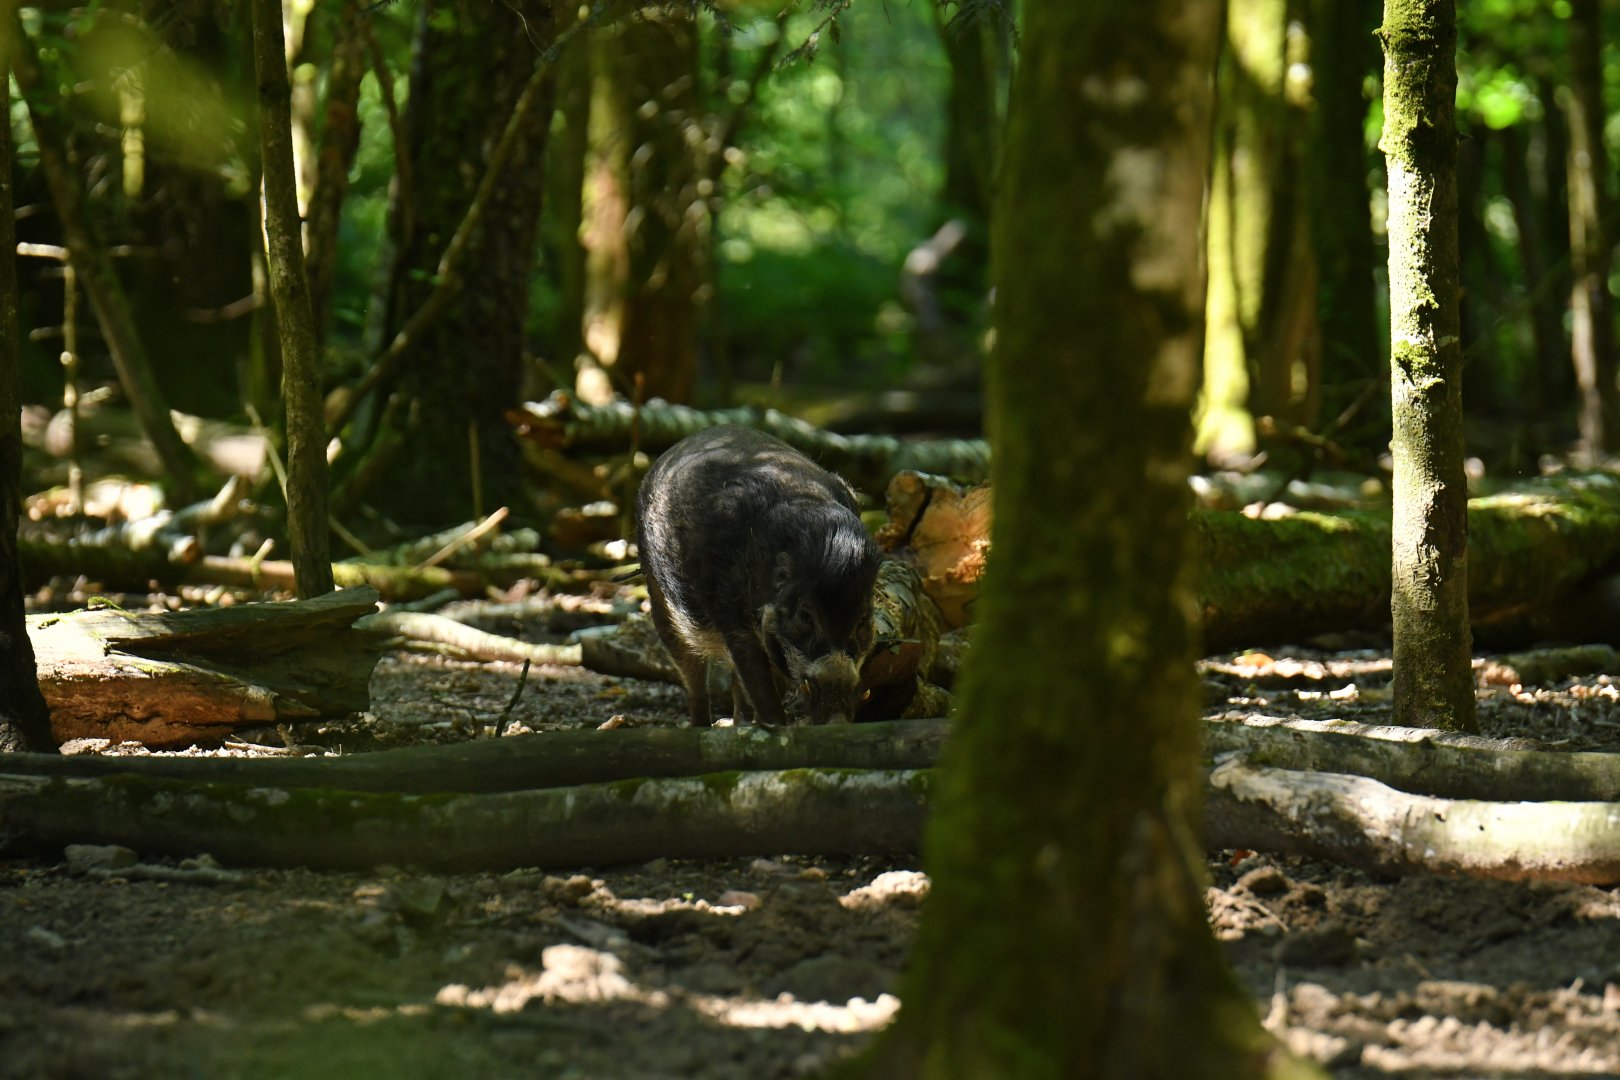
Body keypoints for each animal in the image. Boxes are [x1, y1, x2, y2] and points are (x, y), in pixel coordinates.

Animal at [635, 425, 880, 727]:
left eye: (862, 620)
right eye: (805, 617)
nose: (837, 721)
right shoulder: (728, 610)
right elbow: (755, 677)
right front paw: (775, 726)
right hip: (657, 592)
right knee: (692, 672)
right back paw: (703, 726)